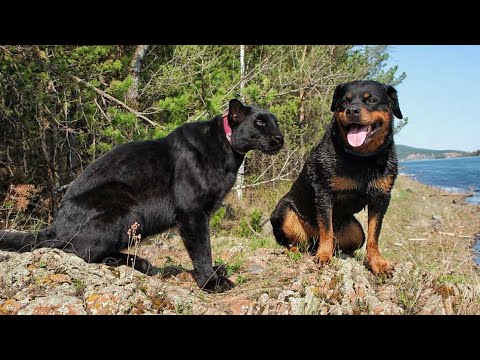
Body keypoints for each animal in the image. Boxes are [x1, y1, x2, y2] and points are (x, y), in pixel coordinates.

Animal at [0, 98, 284, 292]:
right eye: (260, 123)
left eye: (276, 121)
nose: (280, 138)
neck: (229, 151)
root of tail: (56, 223)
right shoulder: (192, 212)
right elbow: (201, 247)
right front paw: (212, 281)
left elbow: (205, 247)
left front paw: (214, 273)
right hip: (124, 205)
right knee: (74, 251)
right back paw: (137, 263)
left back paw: (143, 264)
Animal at [272, 79, 404, 276]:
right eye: (344, 101)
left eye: (371, 100)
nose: (352, 110)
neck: (362, 159)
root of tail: (313, 240)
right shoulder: (324, 192)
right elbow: (326, 228)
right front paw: (324, 256)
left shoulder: (381, 197)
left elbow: (374, 234)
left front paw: (377, 262)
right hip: (284, 212)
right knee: (294, 241)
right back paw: (298, 250)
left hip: (356, 231)